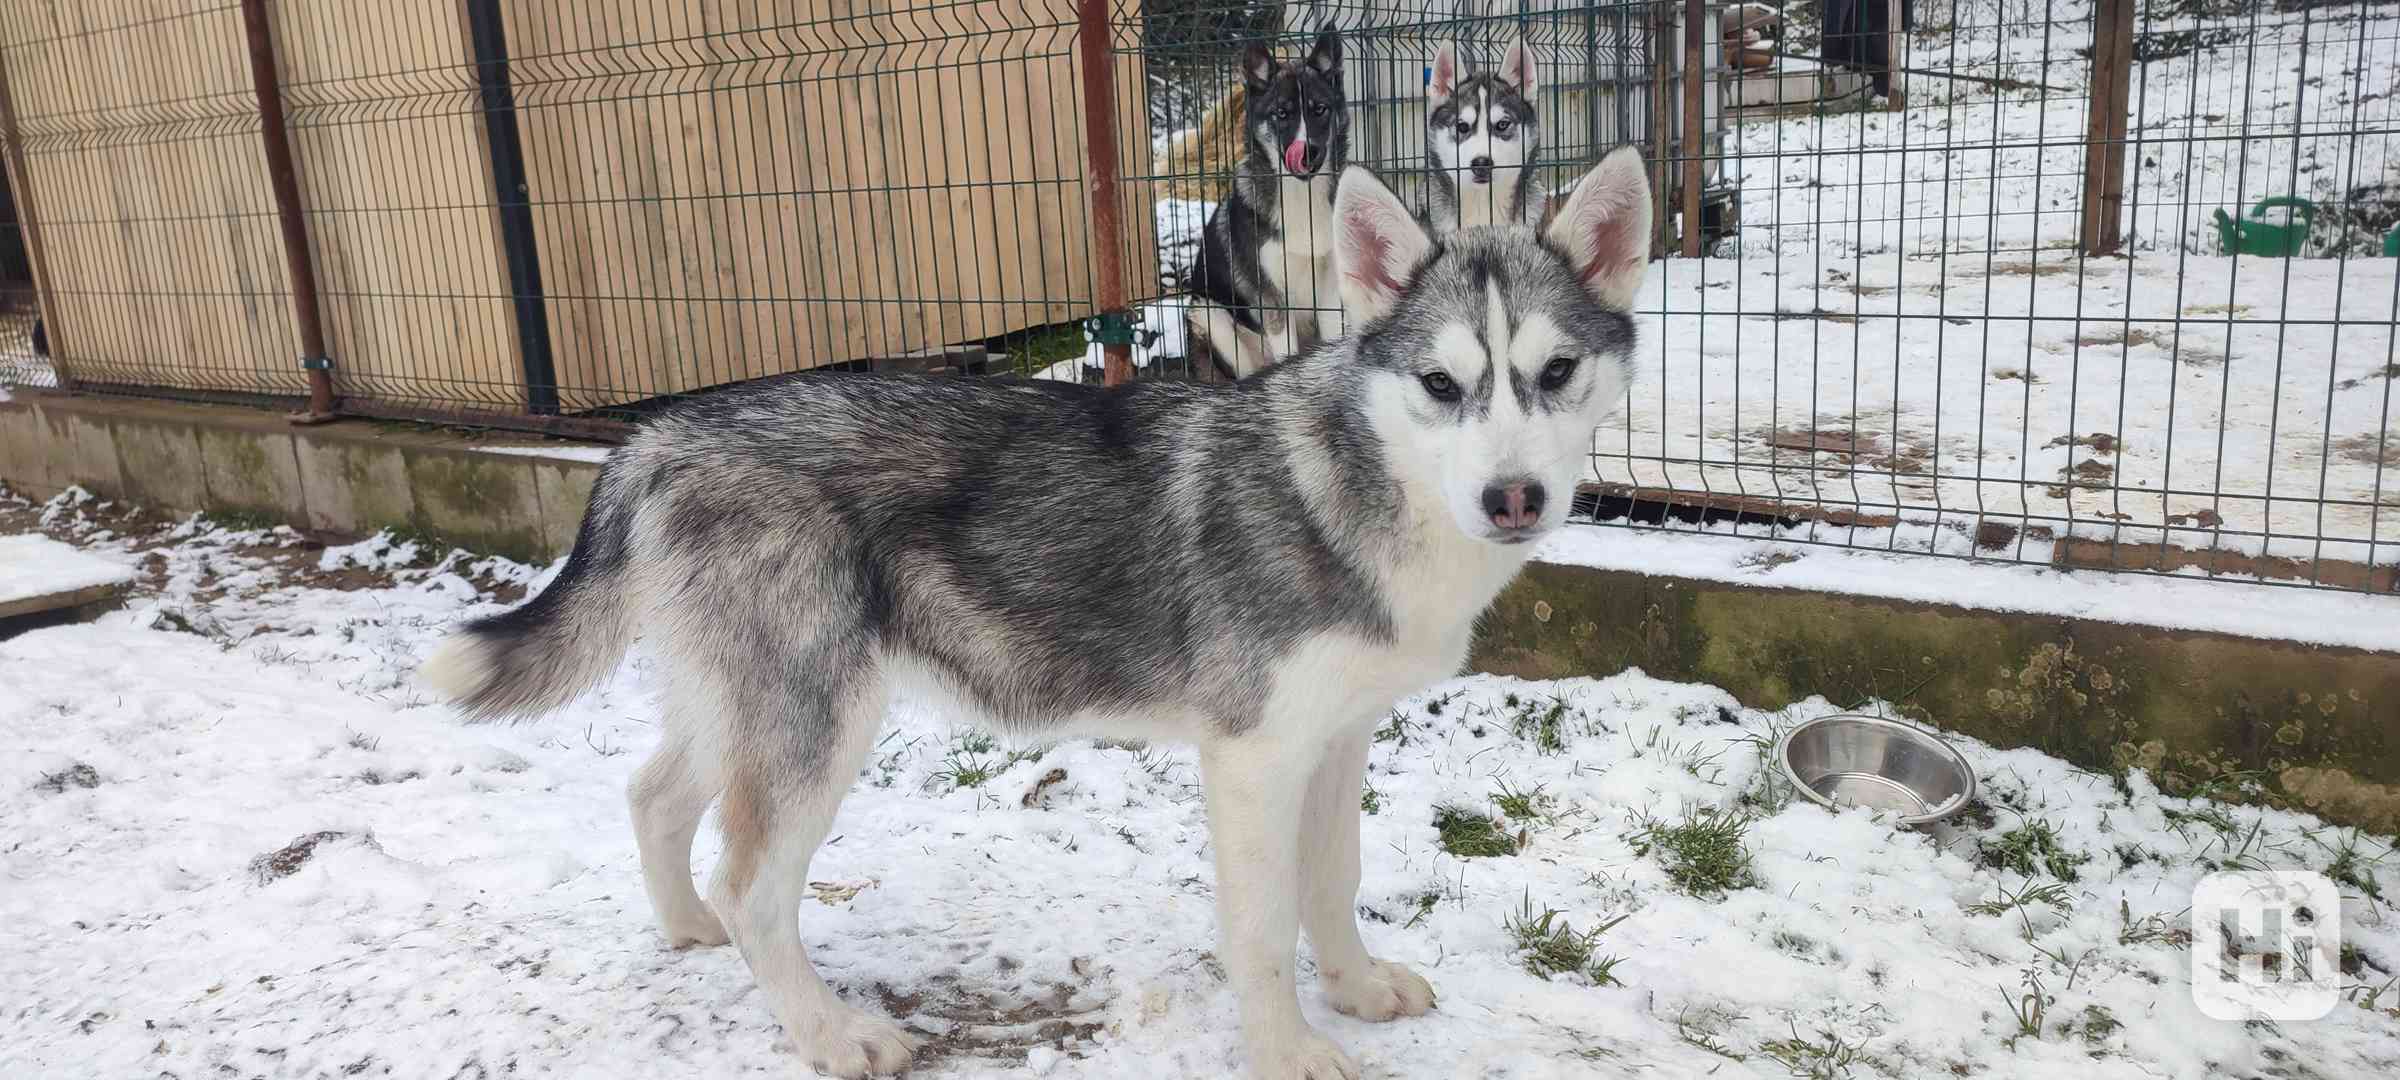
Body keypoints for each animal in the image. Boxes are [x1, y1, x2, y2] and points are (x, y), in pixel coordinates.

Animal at [422, 145, 1651, 1080]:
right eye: (1443, 386)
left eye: (1555, 370)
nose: (1513, 498)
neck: (1360, 487)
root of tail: (660, 429)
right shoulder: (1253, 760)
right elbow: (1261, 931)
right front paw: (1290, 1052)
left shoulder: (1337, 740)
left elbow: (1333, 886)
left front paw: (1352, 991)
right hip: (818, 722)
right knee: (752, 885)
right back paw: (829, 1032)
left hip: (741, 705)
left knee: (655, 796)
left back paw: (688, 929)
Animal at [1185, 31, 1353, 376]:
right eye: (1281, 113)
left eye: (1320, 109)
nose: (1308, 152)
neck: (1301, 194)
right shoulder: (1273, 300)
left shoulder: (1329, 288)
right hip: (1208, 313)